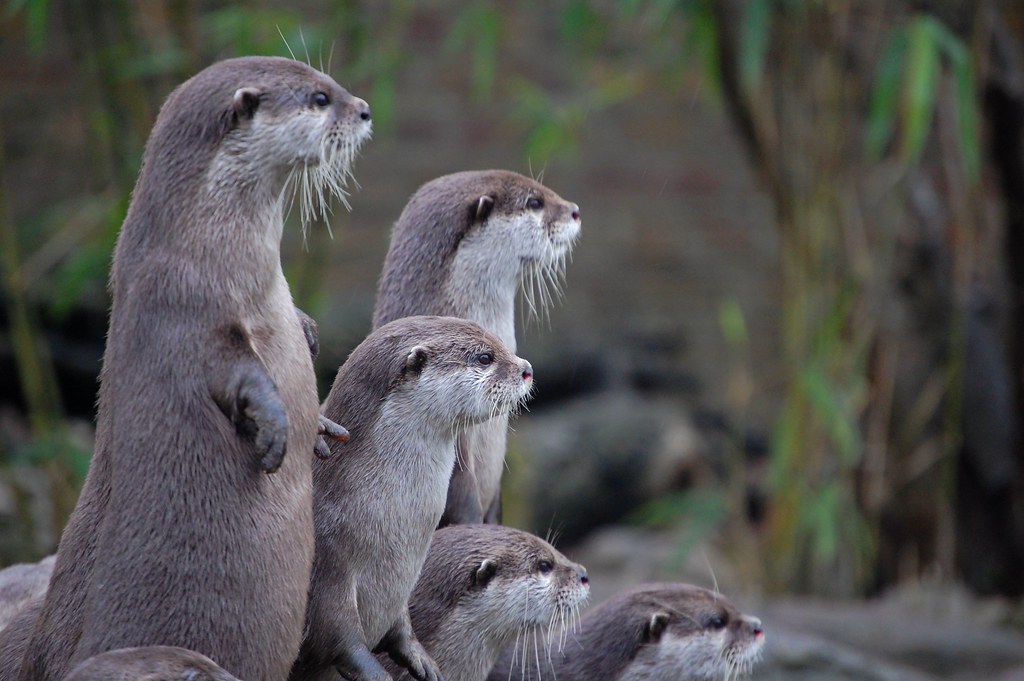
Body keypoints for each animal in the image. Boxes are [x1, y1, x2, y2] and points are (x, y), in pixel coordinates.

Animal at [9, 56, 371, 681]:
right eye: (321, 98)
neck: (203, 249)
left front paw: (320, 419)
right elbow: (231, 371)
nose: (367, 110)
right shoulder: (181, 306)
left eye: (331, 83)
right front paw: (277, 431)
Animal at [290, 316, 535, 681]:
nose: (527, 369)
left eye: (499, 344)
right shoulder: (329, 571)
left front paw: (423, 661)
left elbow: (401, 630)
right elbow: (337, 637)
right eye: (484, 357)